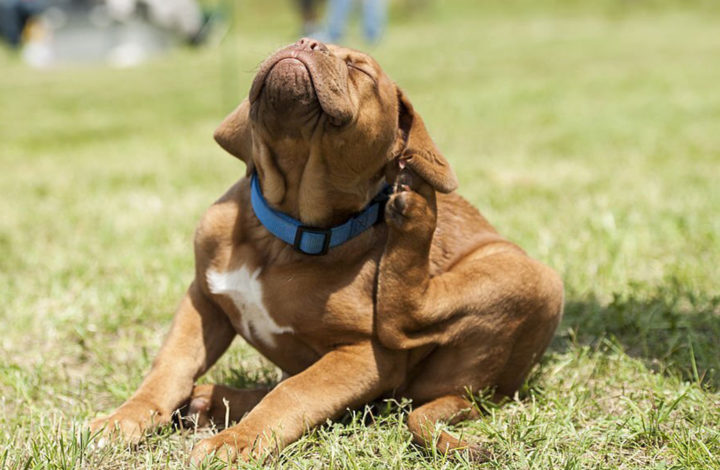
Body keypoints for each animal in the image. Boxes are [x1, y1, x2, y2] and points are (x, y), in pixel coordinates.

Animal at [88, 38, 564, 464]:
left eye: (360, 70)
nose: (307, 42)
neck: (284, 232)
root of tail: (483, 393)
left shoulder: (365, 356)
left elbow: (294, 393)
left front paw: (236, 443)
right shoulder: (203, 299)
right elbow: (169, 368)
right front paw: (123, 419)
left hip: (533, 278)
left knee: (404, 320)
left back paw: (417, 211)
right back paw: (208, 401)